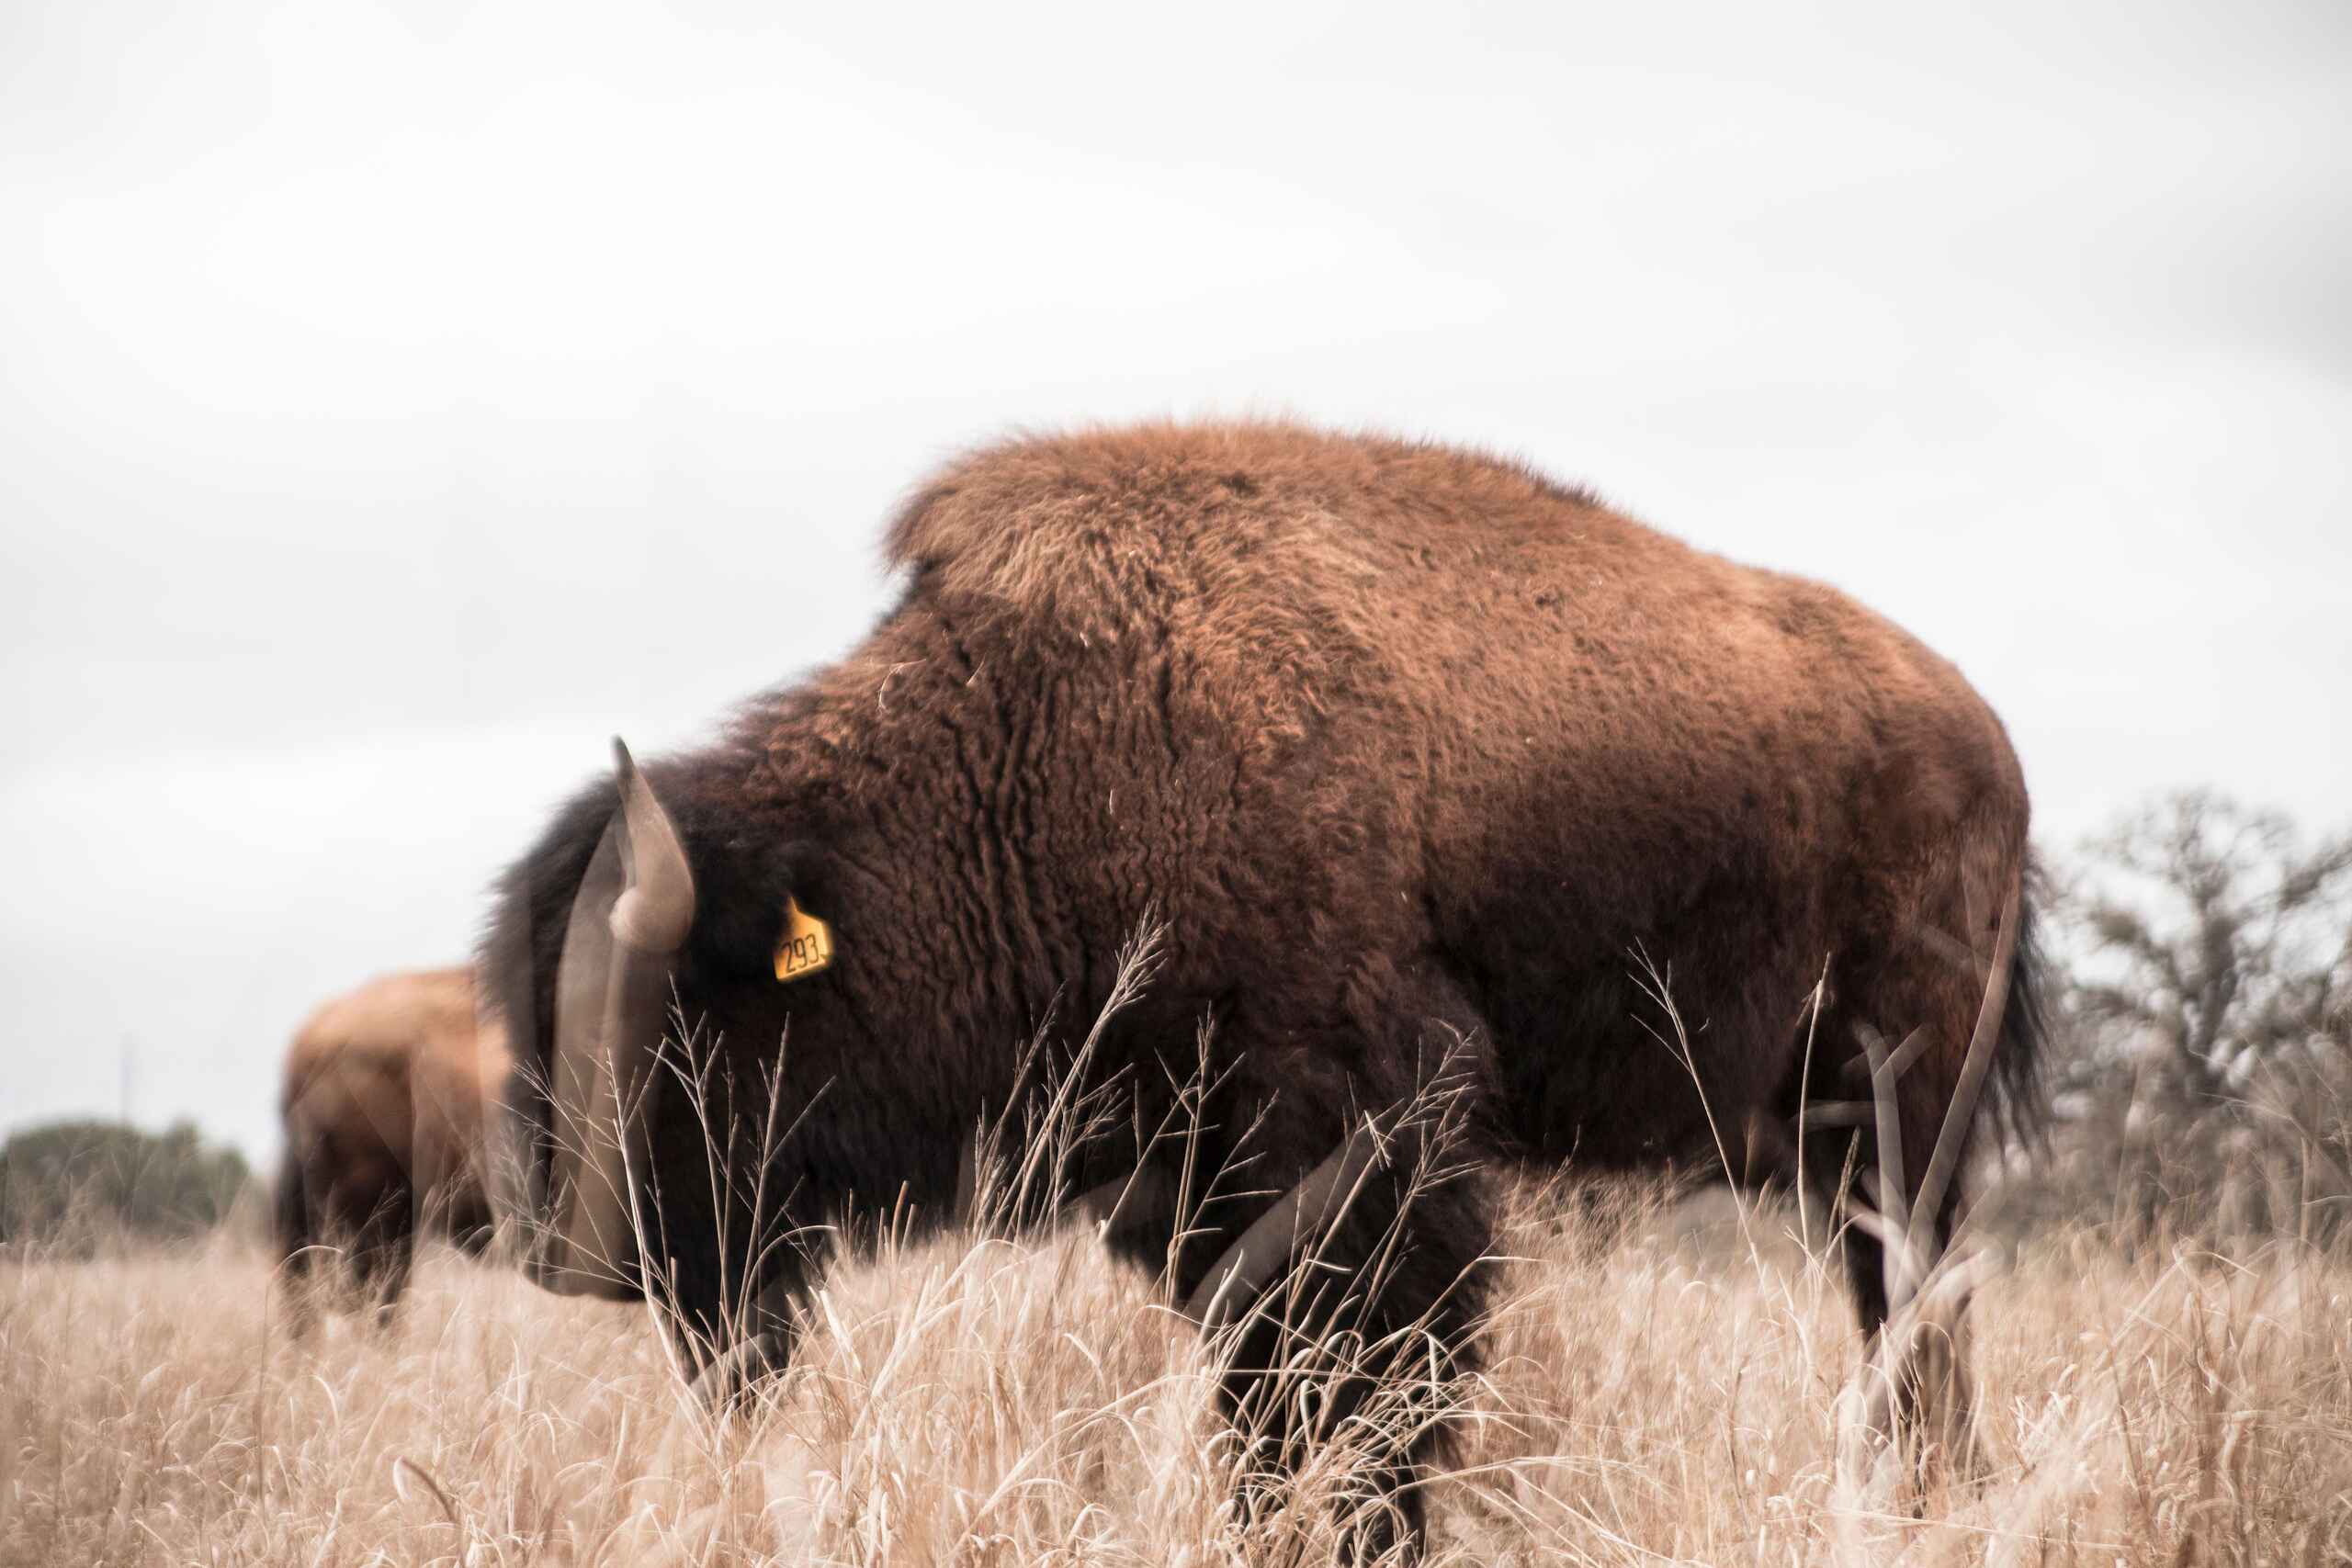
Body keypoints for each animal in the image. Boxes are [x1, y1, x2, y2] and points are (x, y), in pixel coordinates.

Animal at [486, 421, 2044, 1548]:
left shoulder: (1363, 1147)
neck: (1040, 748)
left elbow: (1361, 1383)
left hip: (1901, 1113)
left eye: (690, 1023)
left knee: (1916, 1310)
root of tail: (1979, 728)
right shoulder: (1193, 1186)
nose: (583, 1248)